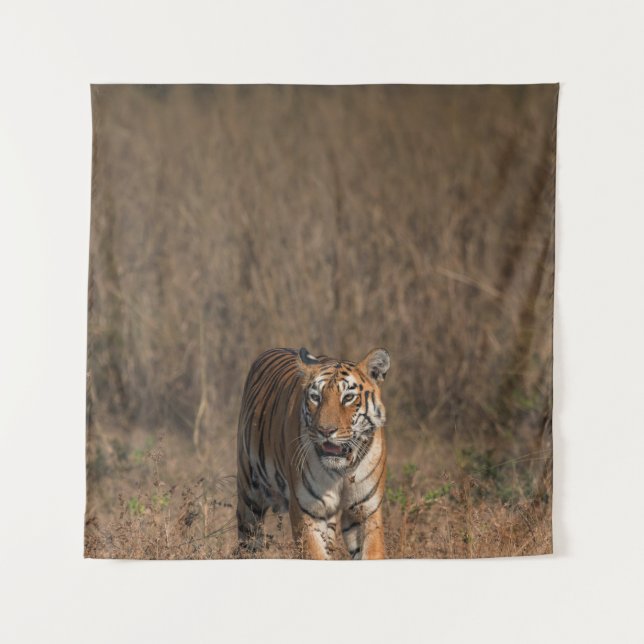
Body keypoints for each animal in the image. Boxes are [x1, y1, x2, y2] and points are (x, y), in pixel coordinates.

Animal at [236, 346, 391, 560]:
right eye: (316, 397)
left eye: (348, 397)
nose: (325, 431)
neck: (342, 469)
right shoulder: (307, 510)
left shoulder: (365, 511)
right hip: (250, 494)